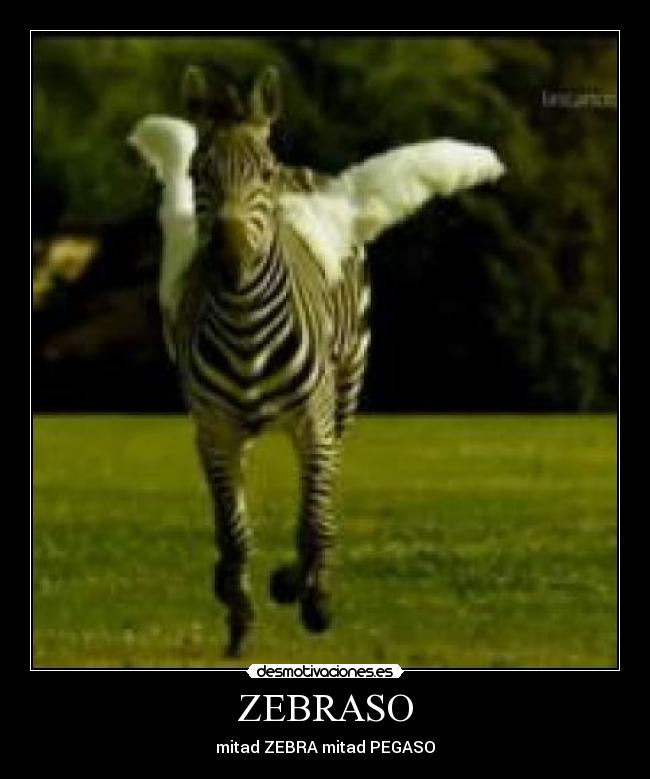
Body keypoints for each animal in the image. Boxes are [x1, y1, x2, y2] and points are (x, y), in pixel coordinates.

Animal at [130, 65, 504, 657]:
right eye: (196, 173)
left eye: (261, 173)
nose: (228, 261)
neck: (245, 329)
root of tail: (309, 176)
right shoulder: (214, 429)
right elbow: (235, 532)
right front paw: (241, 622)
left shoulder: (314, 423)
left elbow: (315, 519)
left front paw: (310, 596)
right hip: (233, 429)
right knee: (234, 511)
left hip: (345, 392)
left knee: (323, 499)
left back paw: (302, 581)